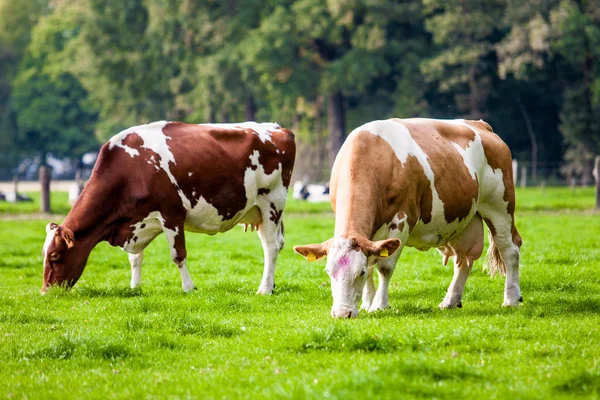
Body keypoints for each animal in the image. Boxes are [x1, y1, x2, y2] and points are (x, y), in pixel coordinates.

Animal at [41, 121, 296, 294]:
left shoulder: (171, 215)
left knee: (271, 247)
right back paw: (272, 285)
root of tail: (278, 128)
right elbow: (135, 259)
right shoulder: (136, 221)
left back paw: (264, 288)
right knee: (277, 244)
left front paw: (188, 287)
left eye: (55, 255)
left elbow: (178, 255)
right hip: (259, 211)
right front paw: (135, 287)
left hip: (271, 203)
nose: (45, 291)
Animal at [294, 117, 520, 318]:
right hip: (465, 218)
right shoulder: (368, 236)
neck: (373, 158)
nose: (342, 314)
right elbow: (371, 262)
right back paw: (450, 301)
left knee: (510, 249)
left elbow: (384, 267)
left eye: (360, 273)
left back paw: (511, 299)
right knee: (464, 259)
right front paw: (367, 303)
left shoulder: (403, 220)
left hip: (500, 206)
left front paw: (379, 306)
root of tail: (480, 124)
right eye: (328, 272)